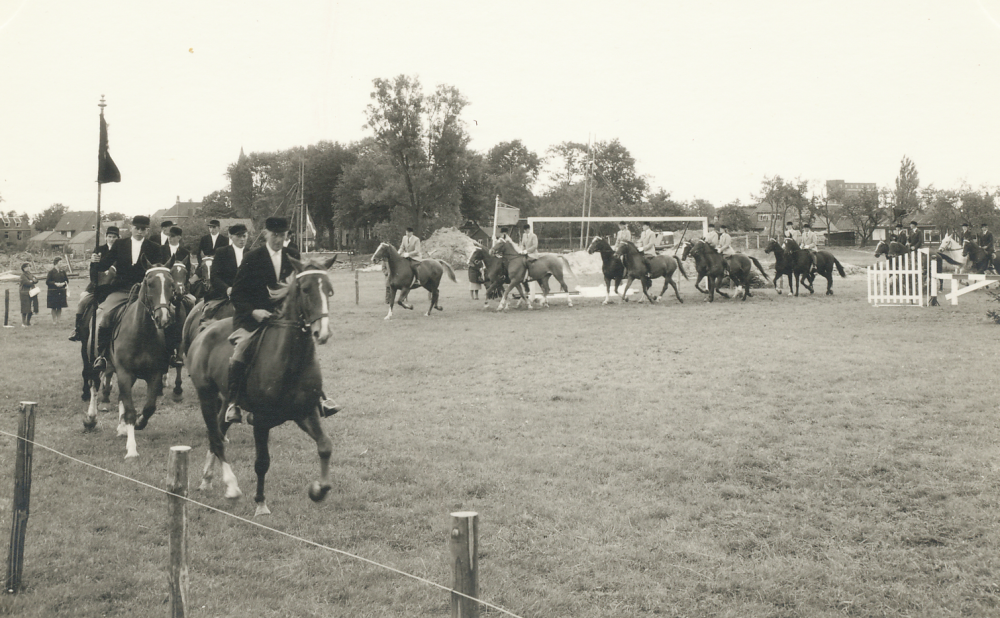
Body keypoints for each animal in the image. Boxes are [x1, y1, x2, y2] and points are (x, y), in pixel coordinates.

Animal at [82, 260, 178, 458]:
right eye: (150, 284)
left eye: (171, 284)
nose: (164, 318)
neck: (142, 333)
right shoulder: (125, 373)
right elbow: (130, 411)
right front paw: (132, 449)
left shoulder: (154, 374)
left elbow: (148, 408)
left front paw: (139, 424)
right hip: (96, 362)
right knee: (94, 385)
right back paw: (91, 419)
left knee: (120, 397)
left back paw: (122, 427)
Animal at [188, 255, 340, 516]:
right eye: (305, 289)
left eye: (329, 291)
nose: (322, 333)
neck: (291, 362)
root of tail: (205, 331)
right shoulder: (260, 420)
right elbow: (262, 463)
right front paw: (260, 503)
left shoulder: (305, 412)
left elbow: (325, 446)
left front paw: (318, 490)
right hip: (206, 395)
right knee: (216, 438)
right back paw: (231, 487)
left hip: (226, 400)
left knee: (218, 432)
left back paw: (207, 479)